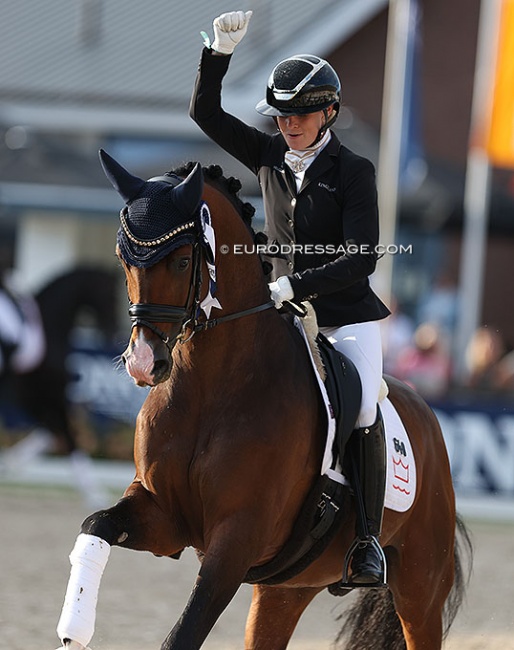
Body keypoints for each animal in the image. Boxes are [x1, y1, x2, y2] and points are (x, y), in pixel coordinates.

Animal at [0, 264, 119, 506]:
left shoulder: (32, 398)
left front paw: (8, 462)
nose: (113, 332)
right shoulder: (47, 395)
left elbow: (52, 431)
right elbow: (68, 434)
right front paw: (94, 493)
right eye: (112, 295)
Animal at [55, 154, 468, 648]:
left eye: (182, 261)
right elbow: (95, 524)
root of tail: (427, 418)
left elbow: (184, 633)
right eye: (123, 258)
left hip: (420, 589)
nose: (143, 364)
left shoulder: (237, 539)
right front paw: (73, 627)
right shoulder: (164, 517)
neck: (210, 388)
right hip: (286, 589)